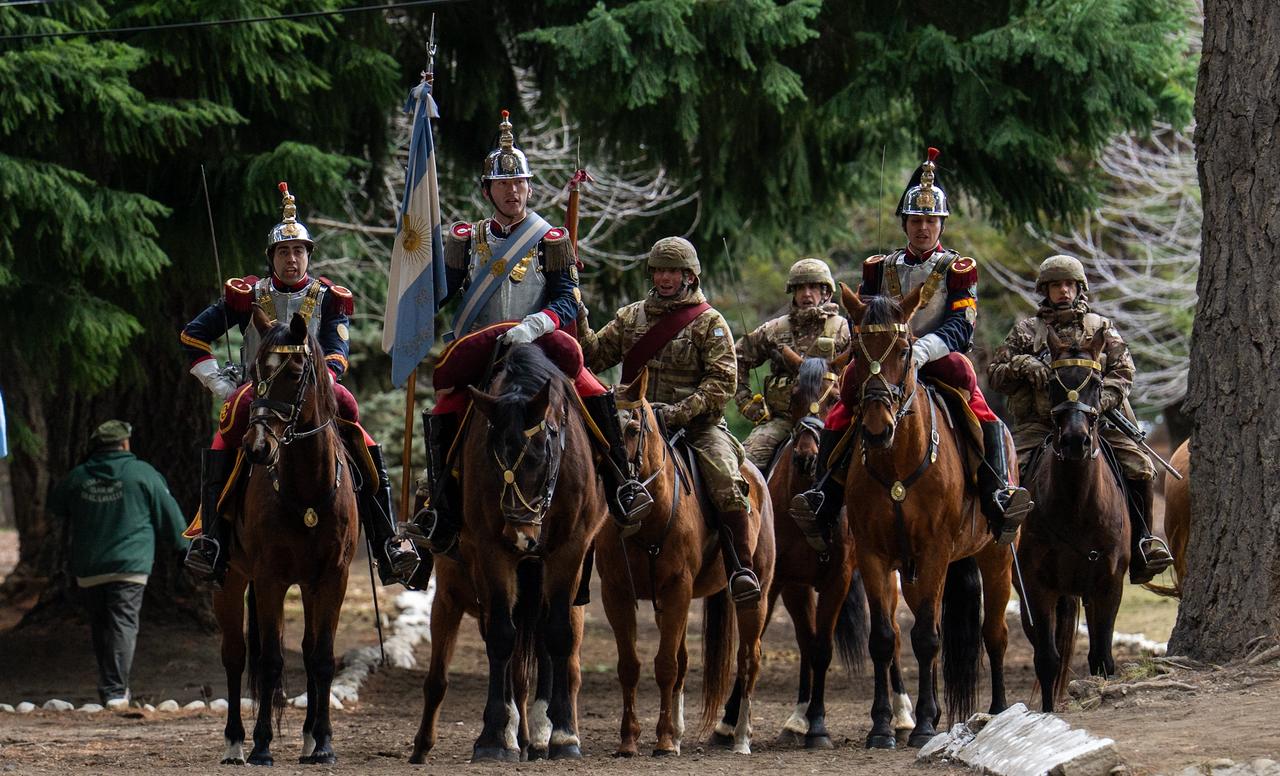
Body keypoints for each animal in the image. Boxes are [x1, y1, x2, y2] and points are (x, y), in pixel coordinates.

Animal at [211, 307, 360, 766]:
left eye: (295, 373)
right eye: (256, 371)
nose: (257, 447)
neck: (307, 488)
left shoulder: (332, 578)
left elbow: (322, 658)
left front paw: (324, 742)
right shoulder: (269, 578)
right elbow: (271, 661)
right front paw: (261, 745)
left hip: (309, 587)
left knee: (309, 652)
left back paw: (309, 738)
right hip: (231, 579)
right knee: (236, 656)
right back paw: (235, 743)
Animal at [451, 343, 606, 762]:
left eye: (541, 455)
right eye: (492, 457)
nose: (521, 536)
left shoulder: (568, 550)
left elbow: (558, 634)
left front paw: (563, 734)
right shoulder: (492, 549)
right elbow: (502, 636)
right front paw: (493, 736)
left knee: (546, 632)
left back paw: (541, 729)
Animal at [596, 368, 775, 756]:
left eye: (633, 428)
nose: (622, 495)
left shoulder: (677, 588)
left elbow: (665, 665)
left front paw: (663, 740)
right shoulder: (617, 594)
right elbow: (630, 665)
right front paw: (630, 740)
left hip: (757, 596)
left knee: (748, 659)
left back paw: (741, 738)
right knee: (685, 660)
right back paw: (680, 732)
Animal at [758, 346, 914, 747]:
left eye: (832, 401)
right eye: (795, 396)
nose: (807, 456)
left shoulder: (838, 578)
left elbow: (823, 649)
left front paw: (818, 727)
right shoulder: (786, 581)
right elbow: (798, 641)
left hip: (885, 578)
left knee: (893, 635)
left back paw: (904, 714)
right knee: (808, 639)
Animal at [840, 284, 1013, 749]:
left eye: (904, 350)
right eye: (857, 352)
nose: (877, 428)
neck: (899, 462)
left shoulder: (936, 551)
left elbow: (929, 638)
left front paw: (922, 727)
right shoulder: (874, 555)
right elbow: (885, 638)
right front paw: (882, 726)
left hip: (996, 555)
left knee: (993, 633)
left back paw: (999, 711)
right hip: (912, 569)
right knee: (920, 624)